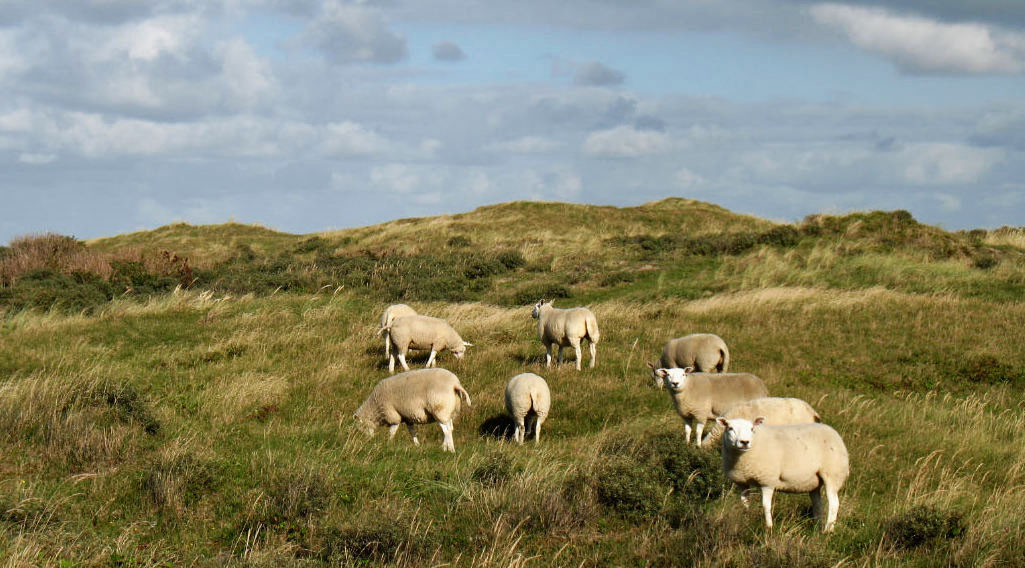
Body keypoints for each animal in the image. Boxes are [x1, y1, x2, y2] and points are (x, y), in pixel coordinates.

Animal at [713, 416, 848, 529]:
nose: (744, 442)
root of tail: (832, 431)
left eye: (752, 428)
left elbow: (766, 506)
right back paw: (817, 529)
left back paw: (828, 530)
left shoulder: (767, 480)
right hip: (814, 482)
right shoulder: (742, 482)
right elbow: (745, 503)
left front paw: (769, 527)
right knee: (818, 505)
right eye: (730, 428)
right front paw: (746, 520)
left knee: (834, 504)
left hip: (833, 474)